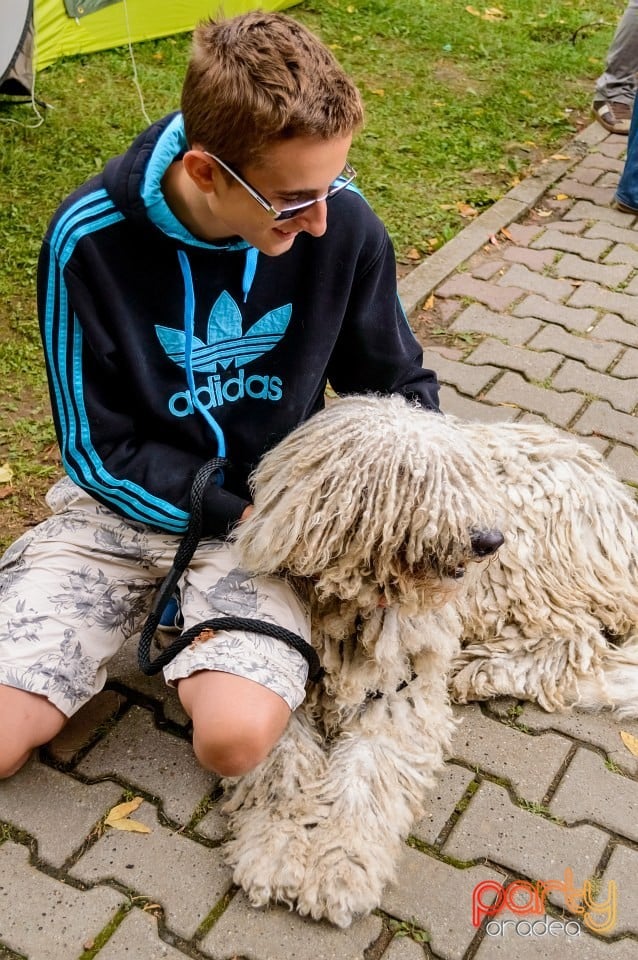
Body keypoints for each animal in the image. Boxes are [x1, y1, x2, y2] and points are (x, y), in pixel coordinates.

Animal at [222, 394, 636, 928]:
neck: (351, 604)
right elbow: (281, 773)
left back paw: (476, 670)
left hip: (539, 574)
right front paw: (277, 853)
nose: (488, 539)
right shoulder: (283, 673)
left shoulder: (400, 691)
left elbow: (367, 779)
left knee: (573, 644)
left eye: (461, 474)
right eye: (413, 480)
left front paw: (340, 870)